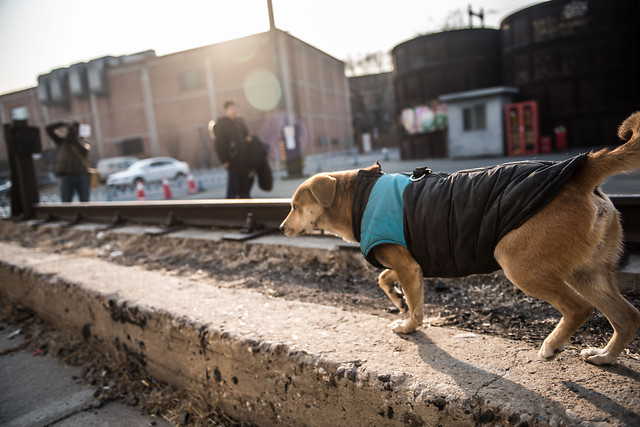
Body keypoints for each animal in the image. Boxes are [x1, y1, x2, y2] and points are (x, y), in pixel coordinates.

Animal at [282, 113, 640, 364]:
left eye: (295, 206)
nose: (283, 227)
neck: (358, 194)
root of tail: (582, 172)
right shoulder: (408, 262)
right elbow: (385, 279)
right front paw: (397, 300)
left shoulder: (409, 267)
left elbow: (415, 305)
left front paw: (408, 325)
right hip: (587, 271)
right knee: (627, 317)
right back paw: (604, 356)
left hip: (520, 263)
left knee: (579, 308)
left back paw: (551, 346)